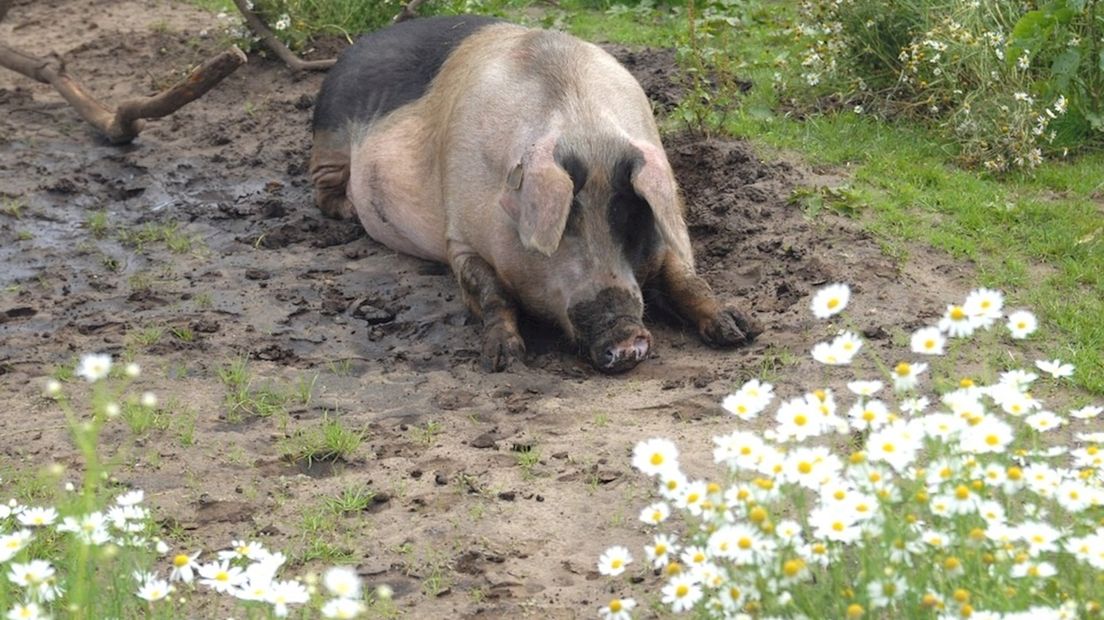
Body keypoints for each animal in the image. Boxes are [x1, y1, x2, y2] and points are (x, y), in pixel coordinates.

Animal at [311, 15, 759, 370]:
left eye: (632, 218)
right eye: (565, 224)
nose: (627, 339)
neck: (583, 125)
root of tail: (362, 41)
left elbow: (686, 279)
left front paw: (741, 329)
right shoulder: (458, 236)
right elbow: (491, 293)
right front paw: (503, 359)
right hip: (328, 136)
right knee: (324, 188)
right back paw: (346, 218)